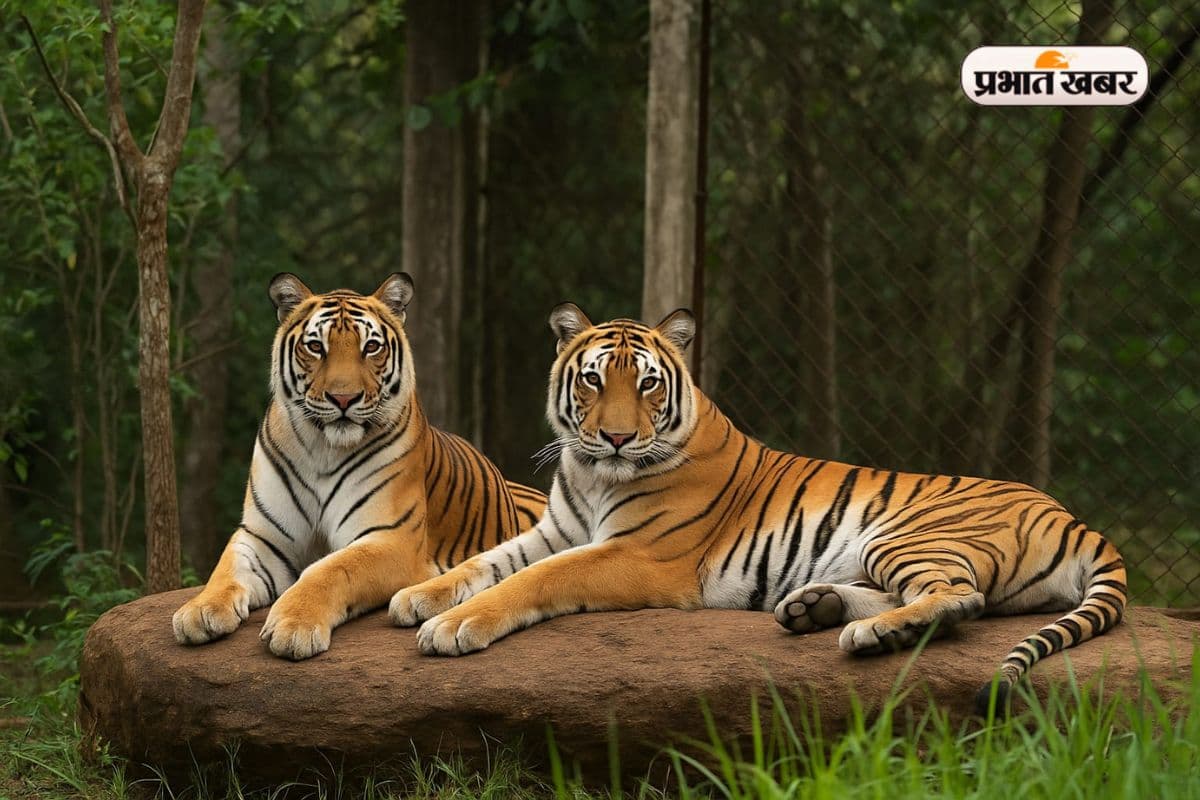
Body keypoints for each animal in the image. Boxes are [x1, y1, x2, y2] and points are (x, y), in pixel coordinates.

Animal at [172, 273, 546, 660]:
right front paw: (199, 611)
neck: (322, 449)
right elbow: (226, 569)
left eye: (371, 347)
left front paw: (294, 624)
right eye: (316, 347)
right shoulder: (264, 535)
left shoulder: (390, 539)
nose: (343, 398)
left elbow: (330, 570)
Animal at [387, 303, 1127, 712]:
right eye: (593, 380)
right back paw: (813, 608)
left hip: (907, 535)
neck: (594, 474)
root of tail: (1074, 518)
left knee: (958, 597)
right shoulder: (556, 530)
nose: (618, 437)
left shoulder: (639, 556)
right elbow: (485, 562)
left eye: (647, 385)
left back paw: (865, 634)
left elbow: (534, 580)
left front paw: (454, 626)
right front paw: (418, 596)